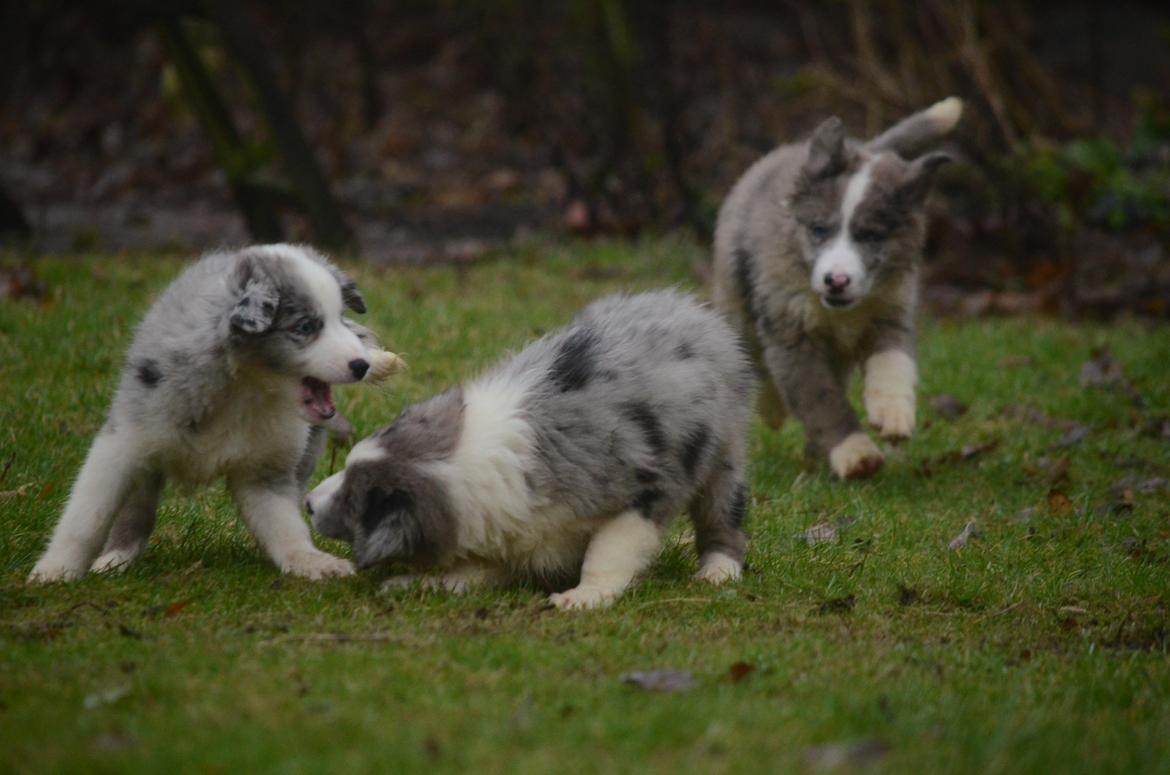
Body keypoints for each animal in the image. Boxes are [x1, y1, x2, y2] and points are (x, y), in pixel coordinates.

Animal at [28, 244, 402, 583]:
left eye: (340, 319)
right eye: (306, 327)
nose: (361, 365)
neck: (244, 385)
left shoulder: (264, 468)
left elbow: (284, 524)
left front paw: (309, 561)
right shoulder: (123, 443)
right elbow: (86, 515)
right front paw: (54, 571)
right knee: (137, 510)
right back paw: (115, 558)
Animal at [306, 291, 753, 613]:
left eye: (352, 500)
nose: (308, 502)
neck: (467, 464)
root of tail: (690, 308)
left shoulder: (643, 496)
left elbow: (609, 551)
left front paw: (583, 597)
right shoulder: (510, 532)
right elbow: (466, 572)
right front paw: (414, 584)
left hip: (724, 454)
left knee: (722, 517)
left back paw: (717, 572)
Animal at [711, 94, 959, 477]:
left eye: (871, 236)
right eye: (818, 230)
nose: (836, 281)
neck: (838, 311)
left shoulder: (891, 311)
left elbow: (893, 361)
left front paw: (893, 413)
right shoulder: (793, 336)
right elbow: (822, 401)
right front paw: (855, 453)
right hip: (737, 299)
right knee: (752, 355)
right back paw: (771, 408)